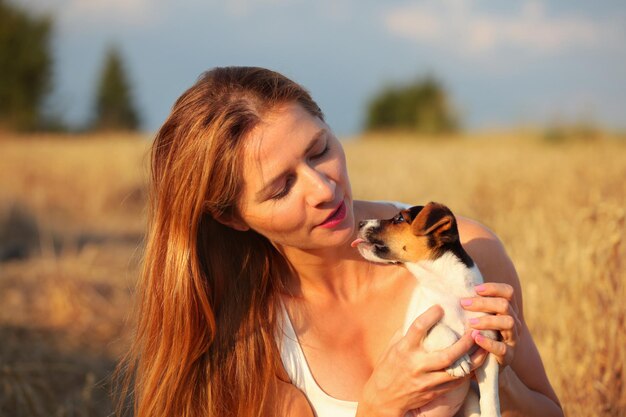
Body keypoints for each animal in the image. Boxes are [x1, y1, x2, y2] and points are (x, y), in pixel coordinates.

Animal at [352, 202, 498, 416]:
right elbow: (442, 331)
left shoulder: (487, 344)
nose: (360, 222)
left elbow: (490, 397)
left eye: (399, 218)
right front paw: (457, 362)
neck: (445, 288)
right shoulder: (416, 329)